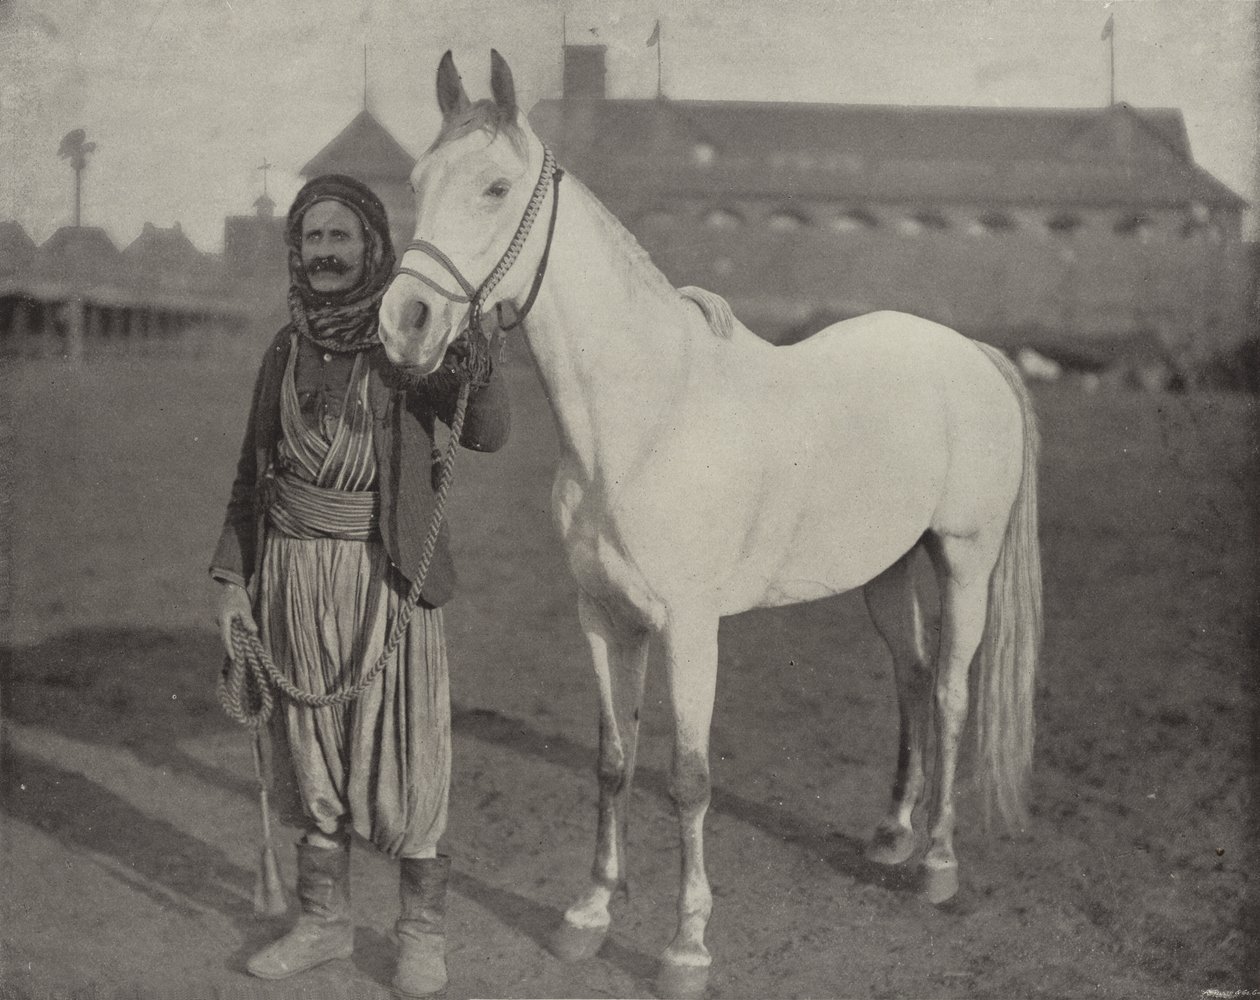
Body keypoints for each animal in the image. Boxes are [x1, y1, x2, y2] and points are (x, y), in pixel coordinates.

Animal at [375, 50, 1043, 992]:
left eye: (496, 187)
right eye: (416, 181)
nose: (405, 324)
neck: (646, 415)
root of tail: (971, 354)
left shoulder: (691, 628)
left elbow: (688, 777)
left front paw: (686, 946)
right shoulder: (605, 617)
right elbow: (614, 760)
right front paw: (587, 915)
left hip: (965, 560)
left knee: (949, 692)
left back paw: (938, 866)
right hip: (885, 570)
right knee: (912, 680)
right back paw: (889, 838)